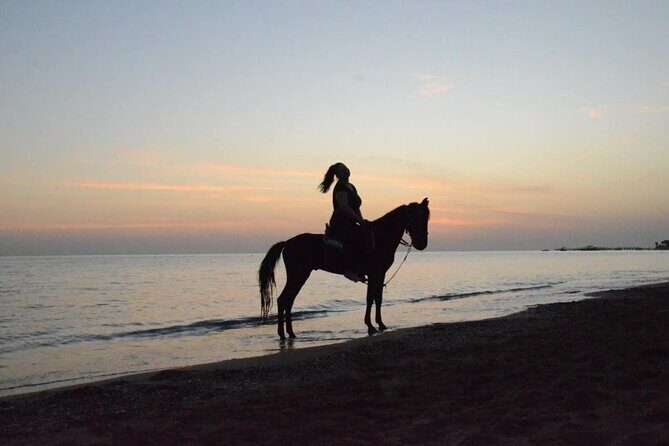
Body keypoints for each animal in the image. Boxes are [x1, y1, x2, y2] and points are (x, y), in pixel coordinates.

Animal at [258, 198, 430, 339]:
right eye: (417, 217)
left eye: (426, 217)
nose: (422, 243)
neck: (381, 236)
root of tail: (287, 242)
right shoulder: (376, 273)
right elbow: (372, 298)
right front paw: (371, 325)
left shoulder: (378, 274)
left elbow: (377, 298)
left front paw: (379, 324)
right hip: (298, 275)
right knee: (284, 300)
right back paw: (283, 334)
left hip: (299, 276)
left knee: (288, 301)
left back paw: (290, 333)